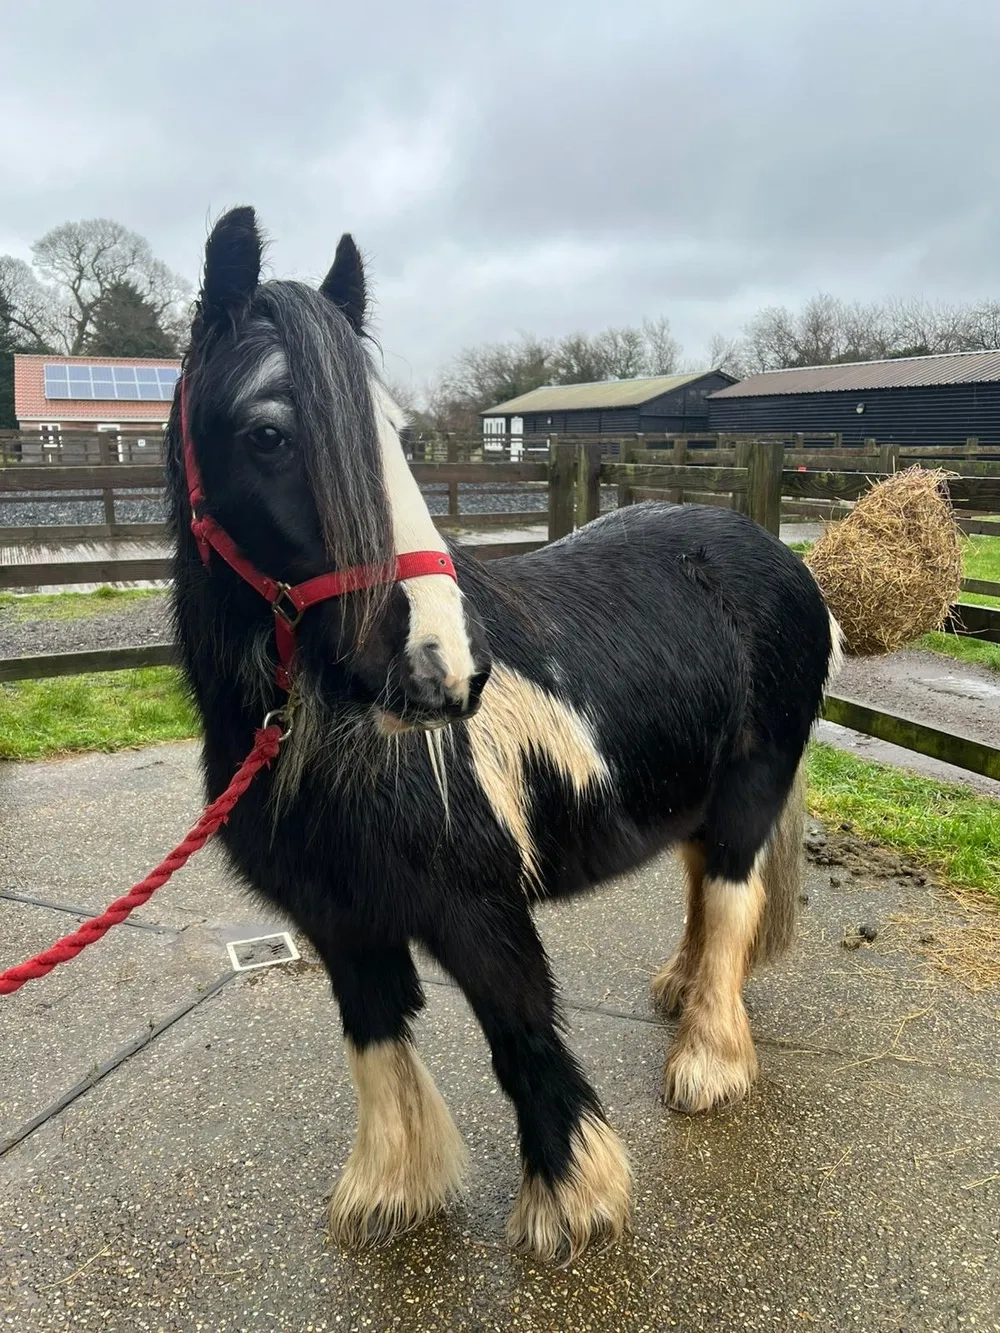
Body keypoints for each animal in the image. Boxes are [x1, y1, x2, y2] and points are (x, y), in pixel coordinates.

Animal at [167, 206, 841, 1263]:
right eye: (268, 433)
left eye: (399, 436)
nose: (443, 668)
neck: (330, 747)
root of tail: (781, 557)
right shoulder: (340, 917)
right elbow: (376, 1037)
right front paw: (391, 1191)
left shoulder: (480, 911)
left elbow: (522, 1037)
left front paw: (574, 1203)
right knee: (702, 891)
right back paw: (682, 988)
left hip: (747, 792)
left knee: (733, 899)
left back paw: (707, 1058)